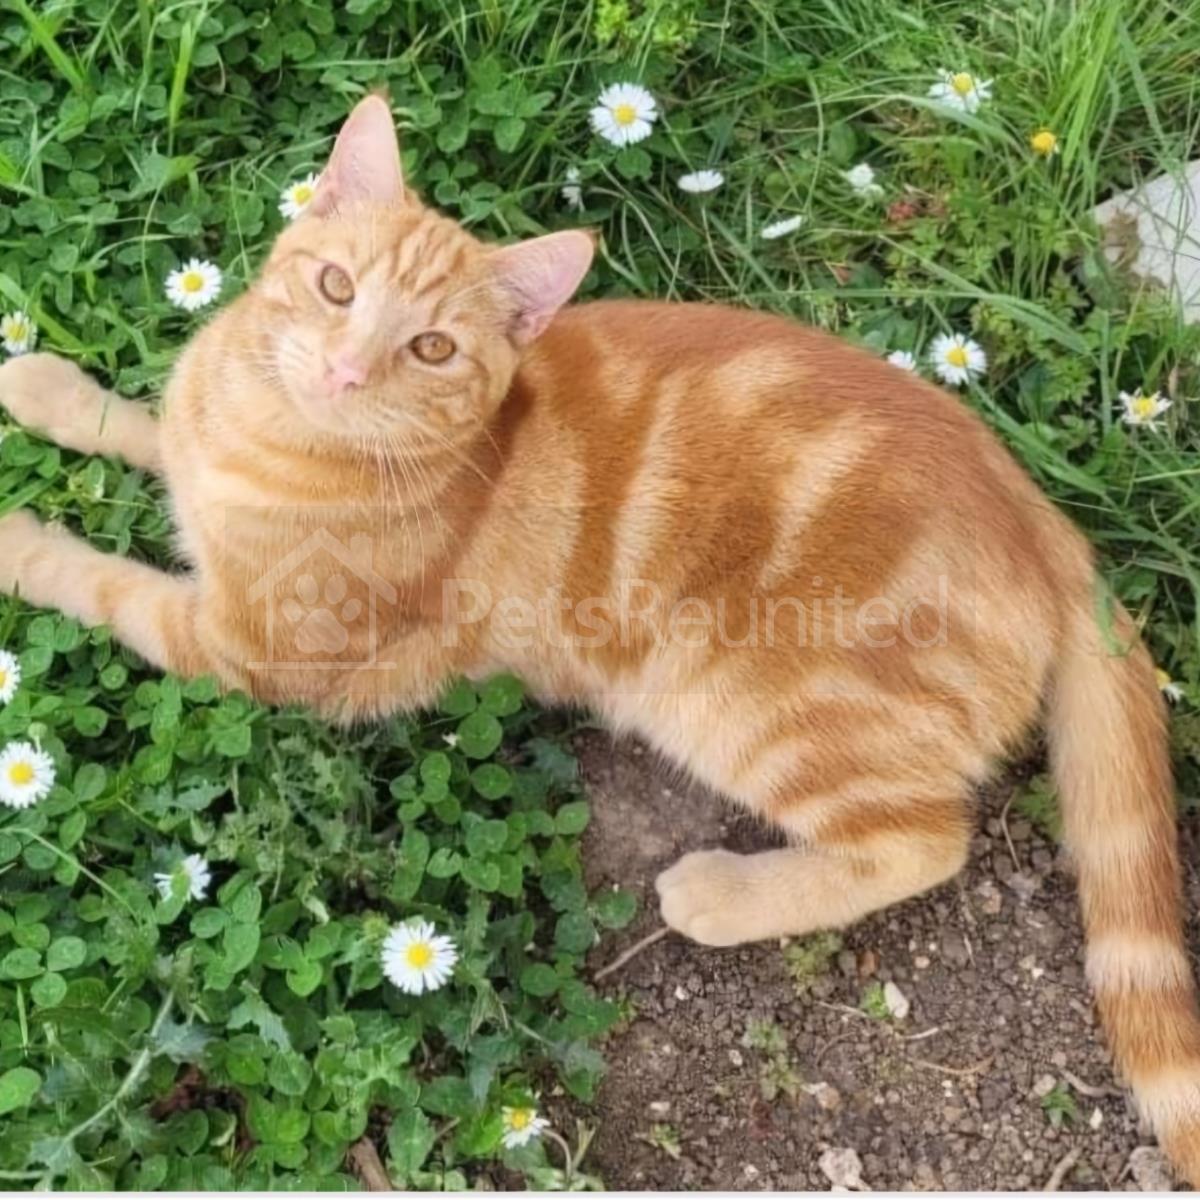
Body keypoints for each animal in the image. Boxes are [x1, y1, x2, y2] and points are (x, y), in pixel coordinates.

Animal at [0, 95, 1197, 1183]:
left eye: (430, 348)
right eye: (335, 286)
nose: (344, 373)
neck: (267, 432)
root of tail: (1047, 520)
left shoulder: (255, 649)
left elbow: (104, 583)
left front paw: (22, 540)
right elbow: (140, 426)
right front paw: (49, 386)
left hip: (757, 705)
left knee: (922, 842)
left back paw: (722, 893)